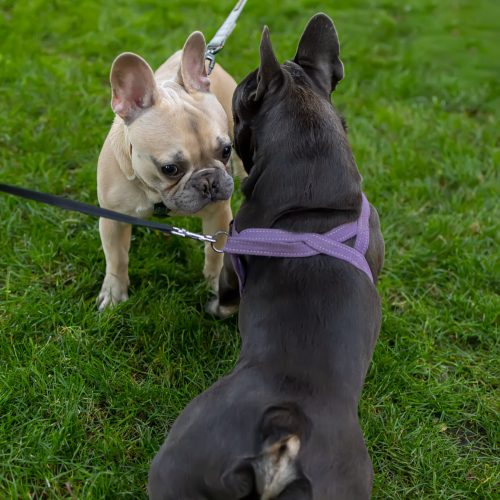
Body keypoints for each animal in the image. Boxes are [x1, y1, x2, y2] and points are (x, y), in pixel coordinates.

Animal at [95, 32, 240, 308]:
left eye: (225, 150)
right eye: (170, 168)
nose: (208, 182)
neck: (155, 193)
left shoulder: (218, 213)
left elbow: (215, 254)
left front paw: (216, 286)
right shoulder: (112, 219)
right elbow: (116, 259)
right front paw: (114, 294)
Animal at [147, 13, 382, 498]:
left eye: (237, 102)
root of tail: (284, 435)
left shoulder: (233, 254)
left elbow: (224, 292)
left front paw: (214, 308)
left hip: (180, 462)